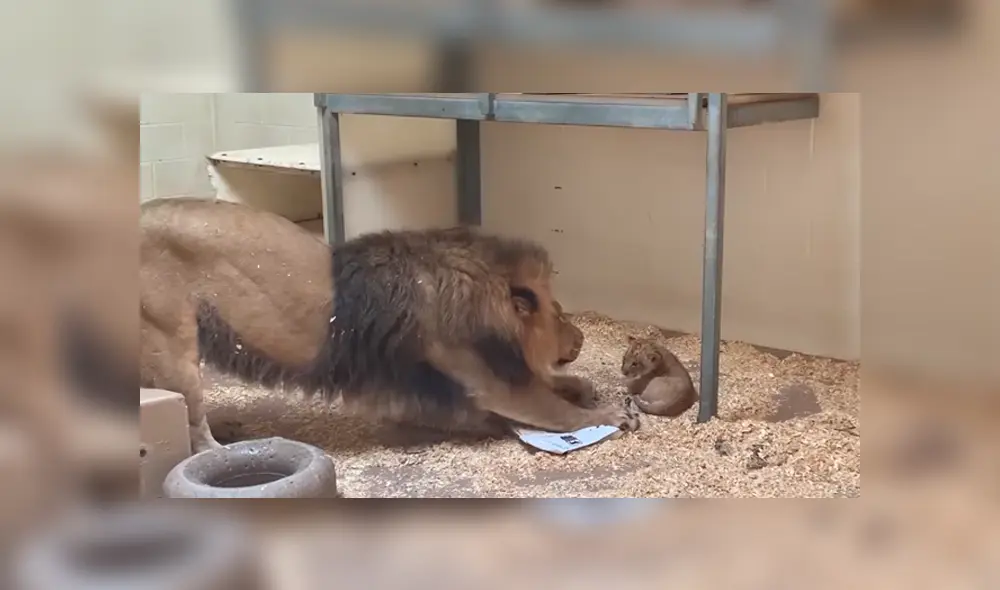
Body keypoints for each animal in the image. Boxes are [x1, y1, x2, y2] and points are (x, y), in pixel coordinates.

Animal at [140, 198, 637, 453]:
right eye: (560, 315)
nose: (582, 337)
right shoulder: (488, 382)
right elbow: (552, 409)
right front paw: (607, 414)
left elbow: (553, 384)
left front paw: (582, 386)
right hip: (172, 343)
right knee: (193, 429)